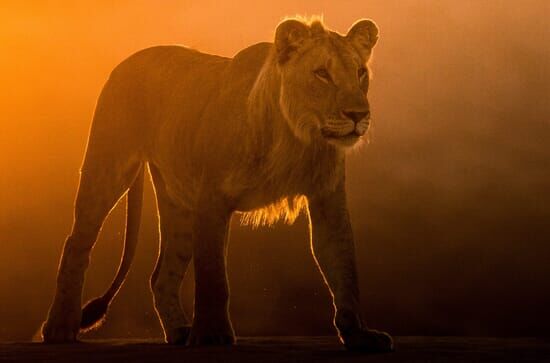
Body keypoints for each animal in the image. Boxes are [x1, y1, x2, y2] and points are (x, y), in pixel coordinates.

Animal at [43, 17, 394, 352]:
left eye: (360, 73)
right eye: (322, 73)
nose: (358, 115)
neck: (294, 136)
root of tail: (130, 59)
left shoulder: (327, 201)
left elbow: (343, 268)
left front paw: (359, 334)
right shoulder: (212, 201)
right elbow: (213, 276)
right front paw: (212, 333)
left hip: (179, 206)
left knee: (161, 276)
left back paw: (179, 332)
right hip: (109, 170)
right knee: (75, 245)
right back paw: (60, 327)